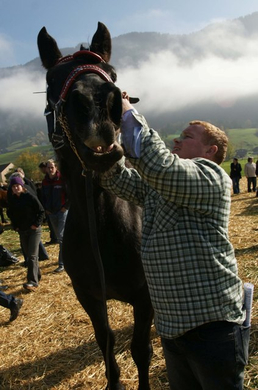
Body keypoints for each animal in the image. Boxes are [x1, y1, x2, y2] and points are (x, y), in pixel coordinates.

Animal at [37, 22, 154, 388]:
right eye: (51, 80)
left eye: (112, 73)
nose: (96, 102)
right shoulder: (89, 298)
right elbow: (107, 348)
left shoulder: (145, 296)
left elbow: (141, 351)